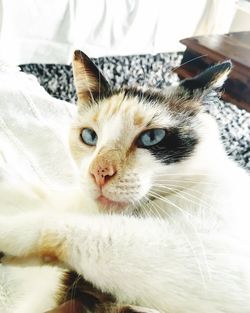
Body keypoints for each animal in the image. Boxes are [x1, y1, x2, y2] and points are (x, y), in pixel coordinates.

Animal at [0, 49, 250, 312]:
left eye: (152, 137)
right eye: (89, 136)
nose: (99, 173)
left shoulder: (213, 256)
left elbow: (89, 231)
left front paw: (10, 233)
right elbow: (33, 193)